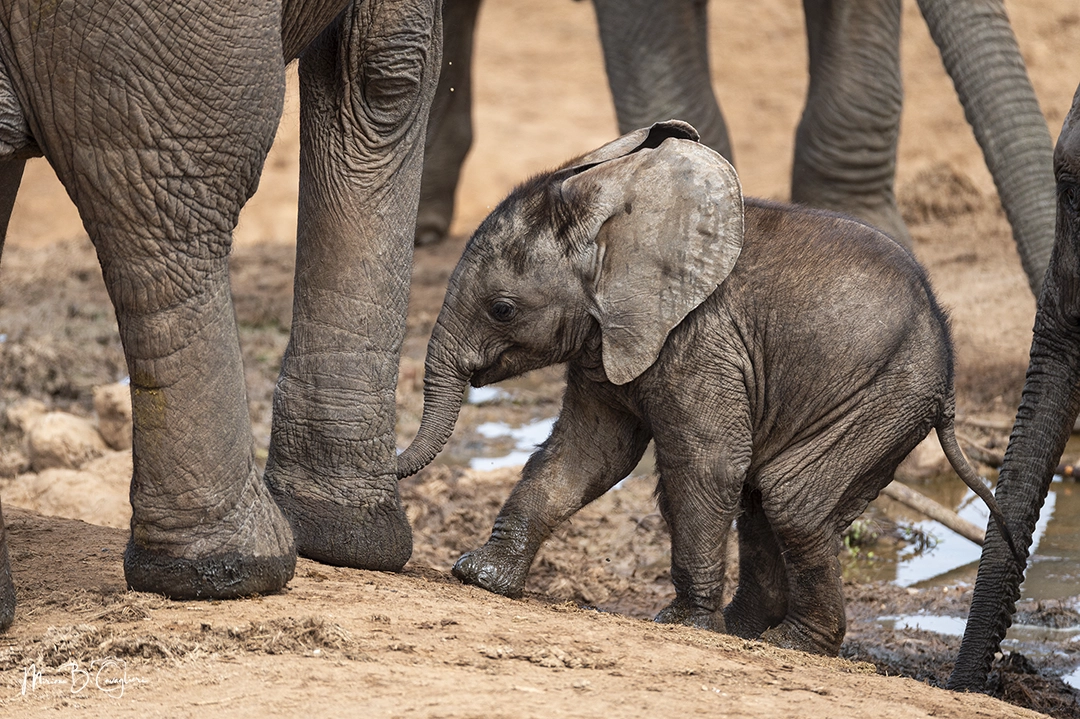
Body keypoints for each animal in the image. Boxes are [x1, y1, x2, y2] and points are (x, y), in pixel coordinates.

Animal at [0, 0, 442, 631]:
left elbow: (368, 75)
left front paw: (341, 537)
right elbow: (389, 76)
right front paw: (352, 538)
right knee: (176, 201)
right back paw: (230, 570)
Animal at [397, 120, 1009, 656]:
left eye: (502, 309)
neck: (618, 225)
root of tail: (948, 373)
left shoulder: (701, 341)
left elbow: (704, 463)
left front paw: (681, 624)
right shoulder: (609, 341)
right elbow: (586, 454)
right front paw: (479, 575)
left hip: (881, 398)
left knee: (790, 500)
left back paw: (791, 644)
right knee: (765, 500)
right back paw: (743, 632)